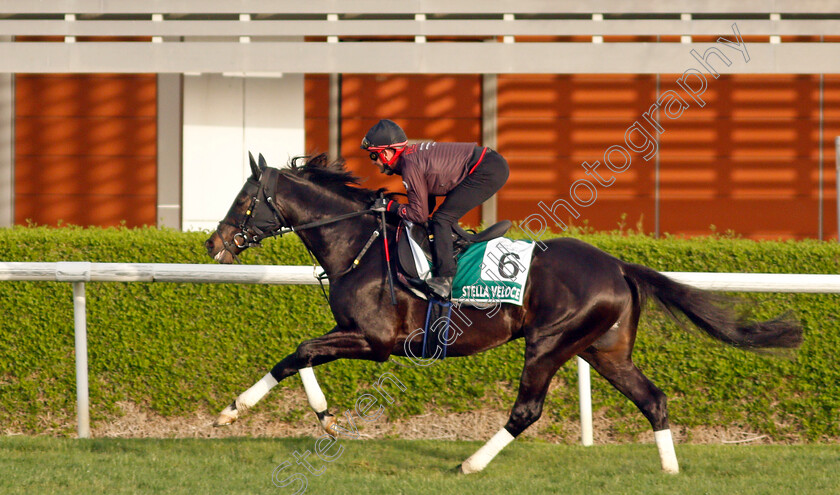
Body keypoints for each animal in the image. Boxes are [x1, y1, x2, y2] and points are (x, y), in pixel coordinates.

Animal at [203, 152, 800, 476]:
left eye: (243, 200)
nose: (214, 243)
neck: (360, 242)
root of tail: (617, 265)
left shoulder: (374, 340)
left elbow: (299, 352)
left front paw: (233, 411)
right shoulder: (353, 332)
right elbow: (300, 356)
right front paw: (324, 417)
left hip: (550, 343)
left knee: (526, 412)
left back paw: (470, 464)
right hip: (603, 350)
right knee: (652, 399)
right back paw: (671, 470)